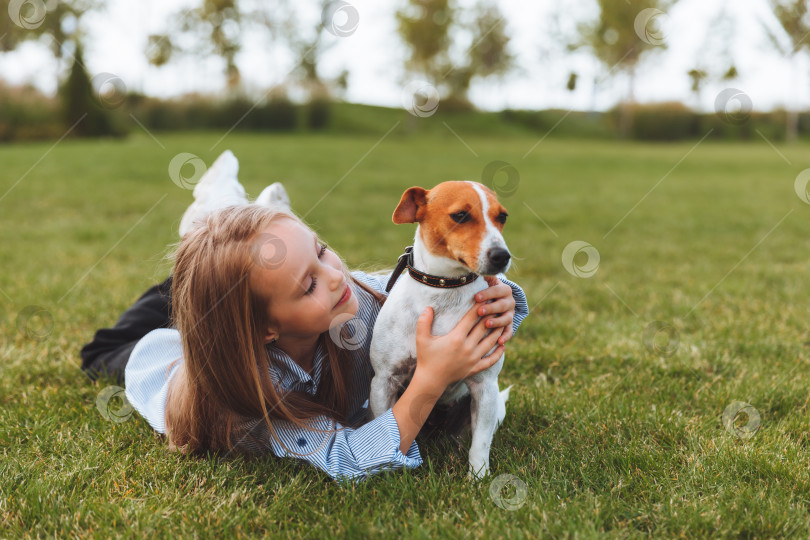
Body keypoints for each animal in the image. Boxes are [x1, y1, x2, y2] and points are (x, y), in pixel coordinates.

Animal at [368, 180, 512, 476]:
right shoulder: (383, 381)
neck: (444, 290)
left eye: (502, 217)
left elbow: (481, 444)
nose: (502, 256)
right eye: (460, 215)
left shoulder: (485, 387)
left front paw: (478, 478)